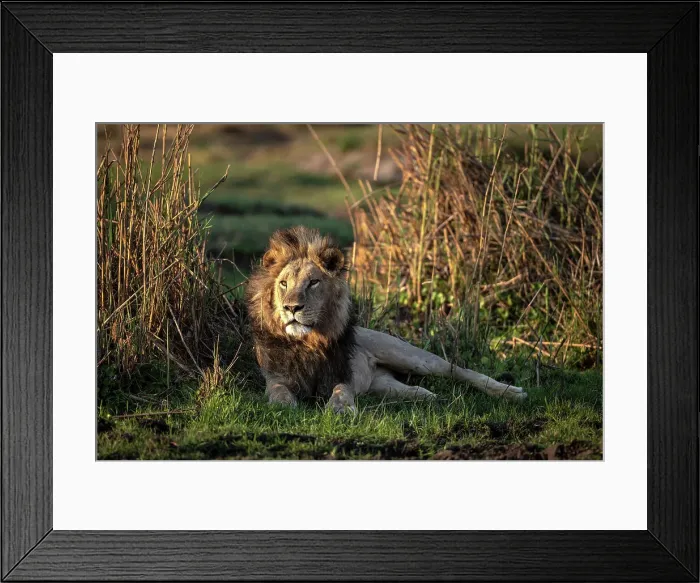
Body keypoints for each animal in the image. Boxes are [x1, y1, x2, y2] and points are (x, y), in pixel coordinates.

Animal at [246, 226, 527, 413]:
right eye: (283, 284)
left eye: (313, 282)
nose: (291, 307)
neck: (308, 342)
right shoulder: (275, 377)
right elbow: (278, 391)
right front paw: (284, 406)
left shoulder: (343, 374)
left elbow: (341, 390)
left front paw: (340, 409)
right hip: (382, 384)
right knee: (414, 390)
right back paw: (429, 397)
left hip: (411, 357)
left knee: (459, 370)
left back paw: (510, 392)